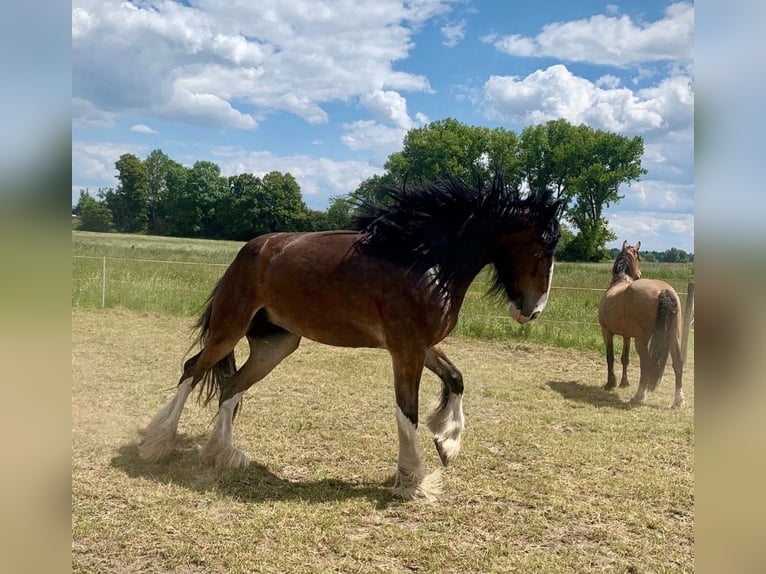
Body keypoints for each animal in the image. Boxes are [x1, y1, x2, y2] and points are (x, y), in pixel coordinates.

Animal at [138, 175, 563, 501]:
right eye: (544, 248)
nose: (533, 311)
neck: (424, 260)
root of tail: (249, 252)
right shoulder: (405, 348)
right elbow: (406, 411)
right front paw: (413, 482)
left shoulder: (418, 345)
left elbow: (456, 379)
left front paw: (448, 444)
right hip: (229, 329)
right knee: (192, 370)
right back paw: (157, 442)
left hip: (276, 345)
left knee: (230, 387)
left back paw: (225, 455)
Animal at [598, 240, 684, 409]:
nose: (639, 275)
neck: (619, 281)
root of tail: (663, 290)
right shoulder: (626, 336)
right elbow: (624, 358)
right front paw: (624, 383)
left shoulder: (606, 332)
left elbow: (610, 357)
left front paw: (611, 383)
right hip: (674, 336)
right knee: (678, 362)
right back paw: (678, 400)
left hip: (642, 340)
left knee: (646, 363)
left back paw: (639, 396)